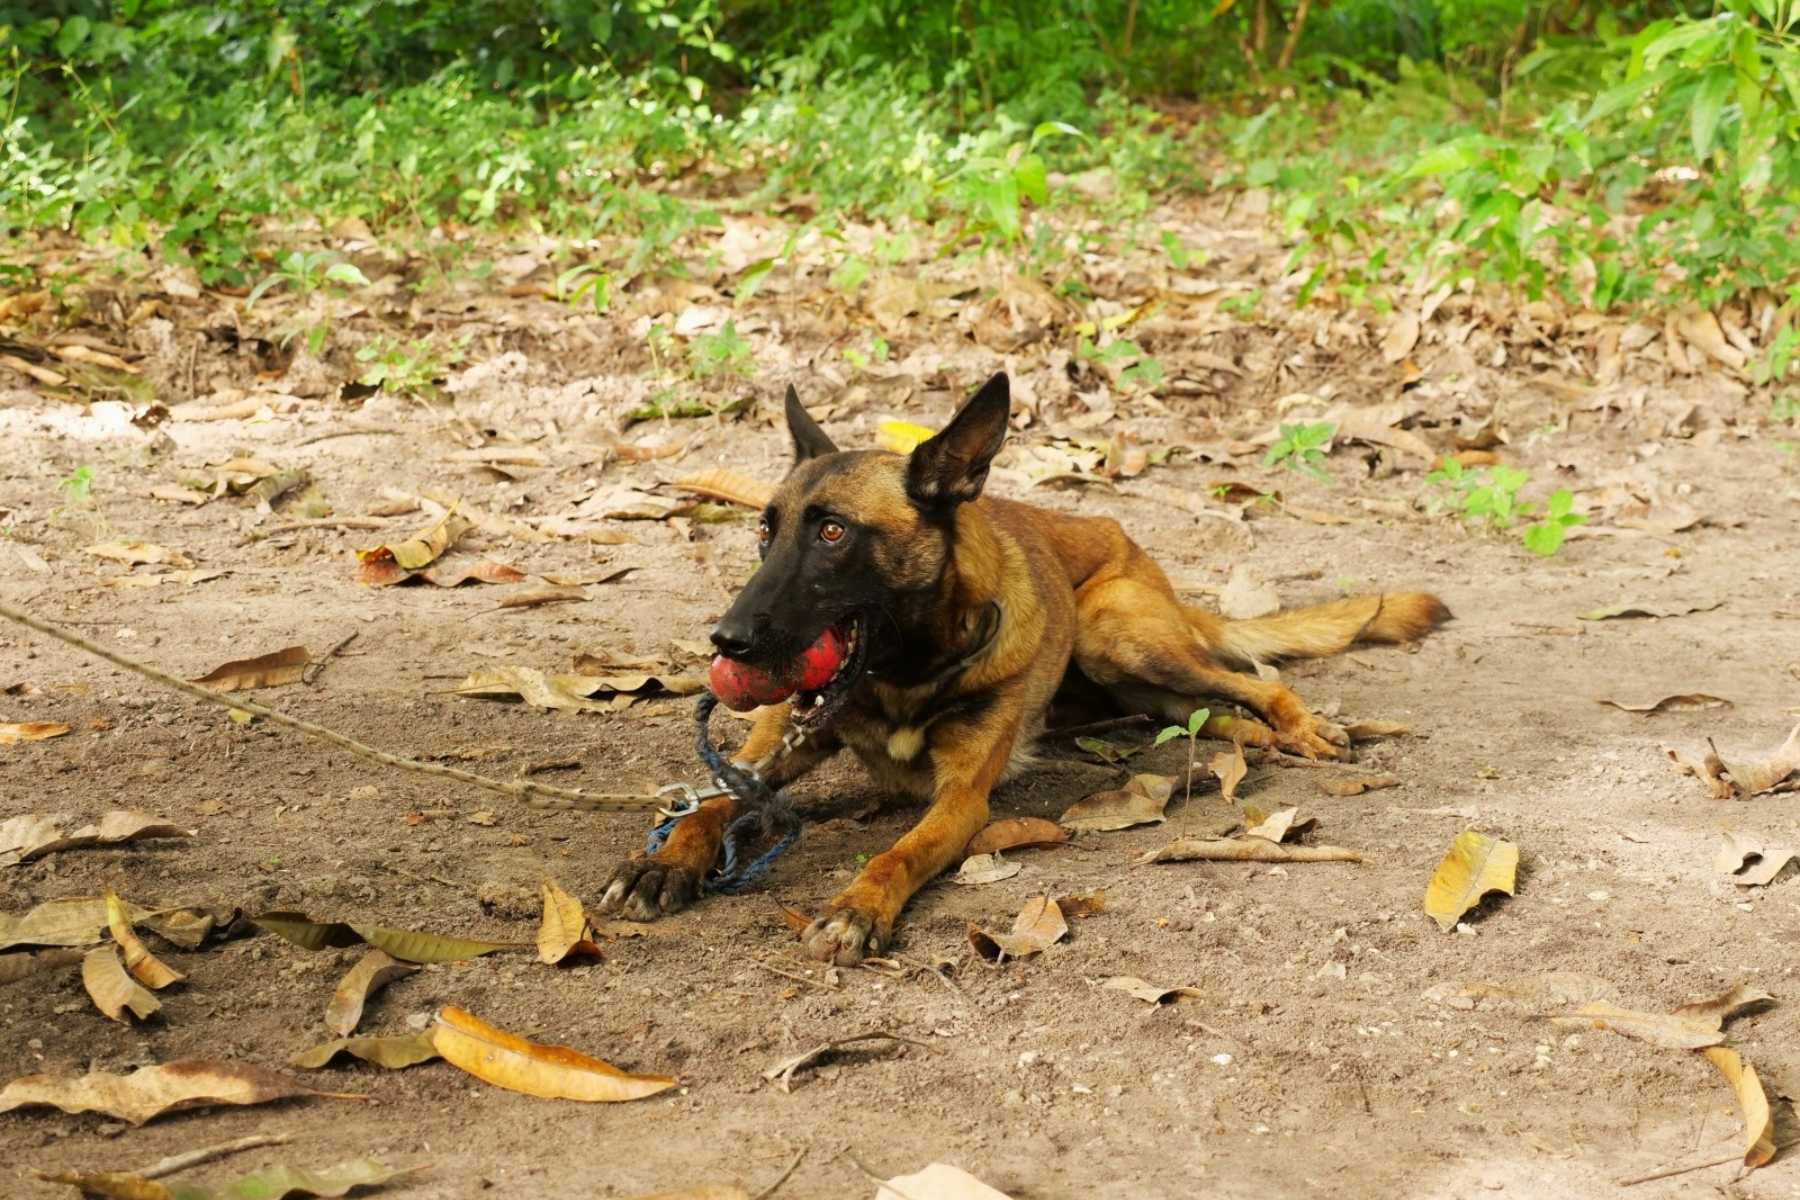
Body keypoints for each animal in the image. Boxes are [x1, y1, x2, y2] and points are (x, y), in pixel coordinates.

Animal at [604, 376, 1447, 964]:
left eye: (834, 533)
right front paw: (662, 864)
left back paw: (1305, 729)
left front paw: (857, 907)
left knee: (1260, 683)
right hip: (1136, 682)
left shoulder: (961, 802)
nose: (727, 641)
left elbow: (897, 851)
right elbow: (709, 802)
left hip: (1117, 636)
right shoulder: (772, 747)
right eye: (764, 532)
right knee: (1215, 713)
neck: (905, 672)